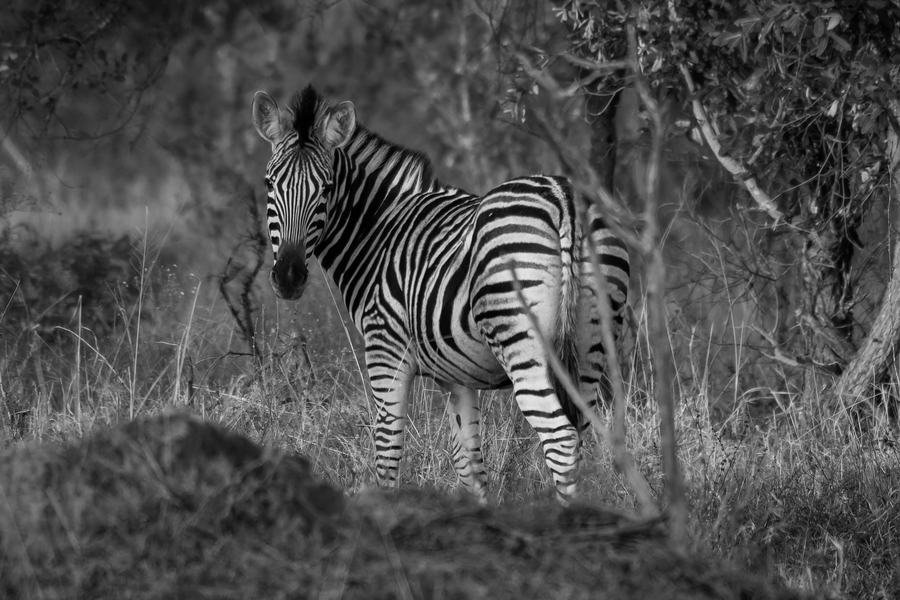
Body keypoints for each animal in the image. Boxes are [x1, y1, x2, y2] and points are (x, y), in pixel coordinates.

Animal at [251, 85, 629, 503]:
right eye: (269, 184)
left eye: (327, 188)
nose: (288, 277)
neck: (380, 231)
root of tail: (564, 198)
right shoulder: (456, 376)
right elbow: (468, 462)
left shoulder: (386, 353)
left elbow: (387, 450)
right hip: (593, 342)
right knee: (585, 434)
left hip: (523, 343)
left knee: (561, 439)